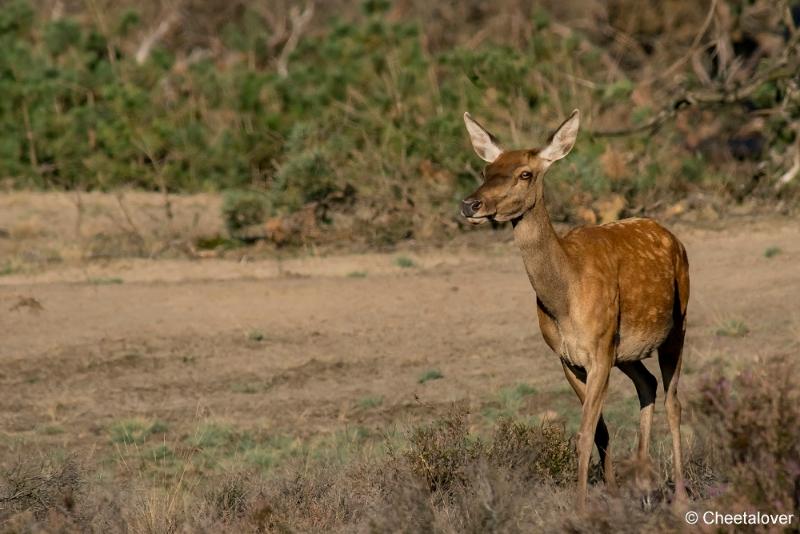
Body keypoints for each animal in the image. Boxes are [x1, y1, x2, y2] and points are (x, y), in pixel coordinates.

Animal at [460, 108, 692, 510]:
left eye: (525, 173)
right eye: (487, 170)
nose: (470, 205)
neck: (564, 298)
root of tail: (673, 237)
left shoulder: (598, 350)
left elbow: (584, 434)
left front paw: (581, 509)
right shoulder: (567, 357)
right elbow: (599, 432)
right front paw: (609, 495)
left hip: (677, 323)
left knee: (673, 400)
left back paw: (678, 497)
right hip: (625, 349)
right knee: (647, 384)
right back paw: (643, 487)